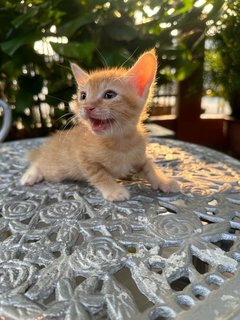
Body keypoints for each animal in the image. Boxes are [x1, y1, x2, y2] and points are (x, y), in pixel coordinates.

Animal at [20, 49, 179, 201]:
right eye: (83, 96)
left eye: (110, 95)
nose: (87, 107)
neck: (120, 142)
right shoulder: (84, 159)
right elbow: (101, 175)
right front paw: (114, 191)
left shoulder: (140, 156)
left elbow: (149, 166)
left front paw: (163, 181)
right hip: (55, 170)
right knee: (38, 162)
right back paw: (30, 175)